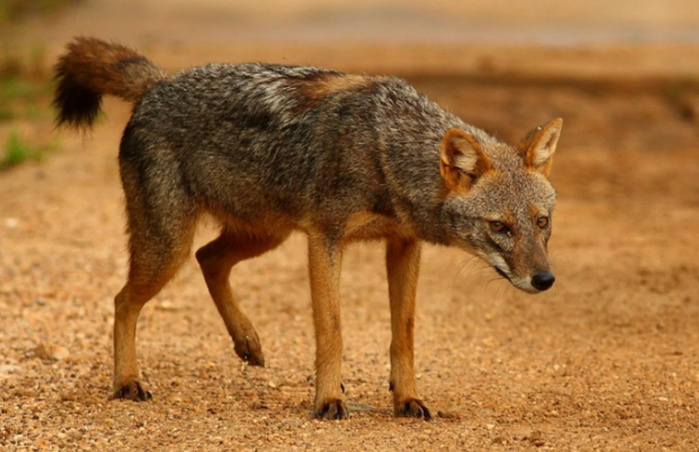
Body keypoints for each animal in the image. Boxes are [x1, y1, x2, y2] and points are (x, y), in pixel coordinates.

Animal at [53, 37, 562, 420]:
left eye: (541, 223)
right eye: (499, 226)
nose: (545, 280)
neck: (384, 150)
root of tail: (158, 83)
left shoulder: (403, 245)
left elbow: (404, 334)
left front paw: (408, 398)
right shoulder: (325, 238)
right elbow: (331, 330)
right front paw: (329, 399)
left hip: (262, 235)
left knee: (209, 259)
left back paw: (247, 340)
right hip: (171, 247)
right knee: (124, 300)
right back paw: (128, 381)